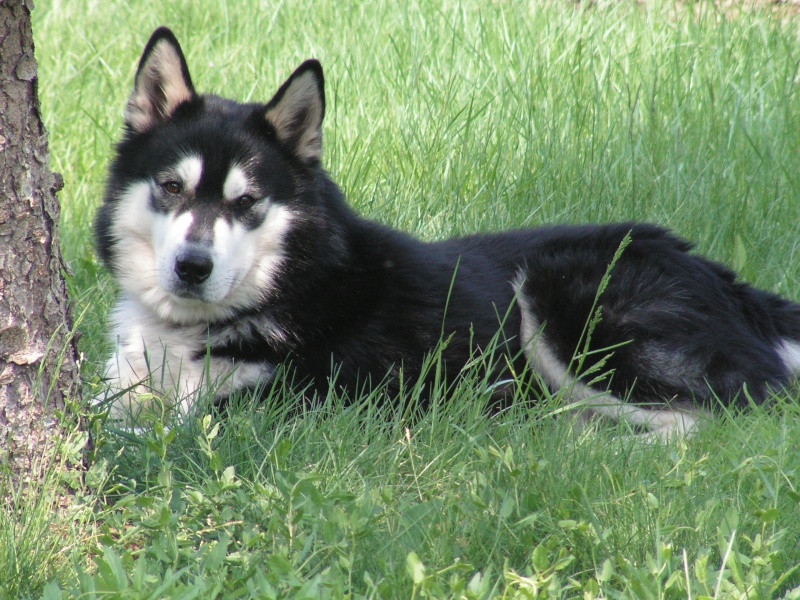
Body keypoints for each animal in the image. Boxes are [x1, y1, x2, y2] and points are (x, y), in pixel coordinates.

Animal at [97, 27, 800, 436]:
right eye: (172, 187)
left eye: (246, 202)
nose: (192, 266)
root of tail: (724, 279)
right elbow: (107, 414)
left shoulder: (274, 411)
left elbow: (142, 435)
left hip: (560, 301)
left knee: (718, 423)